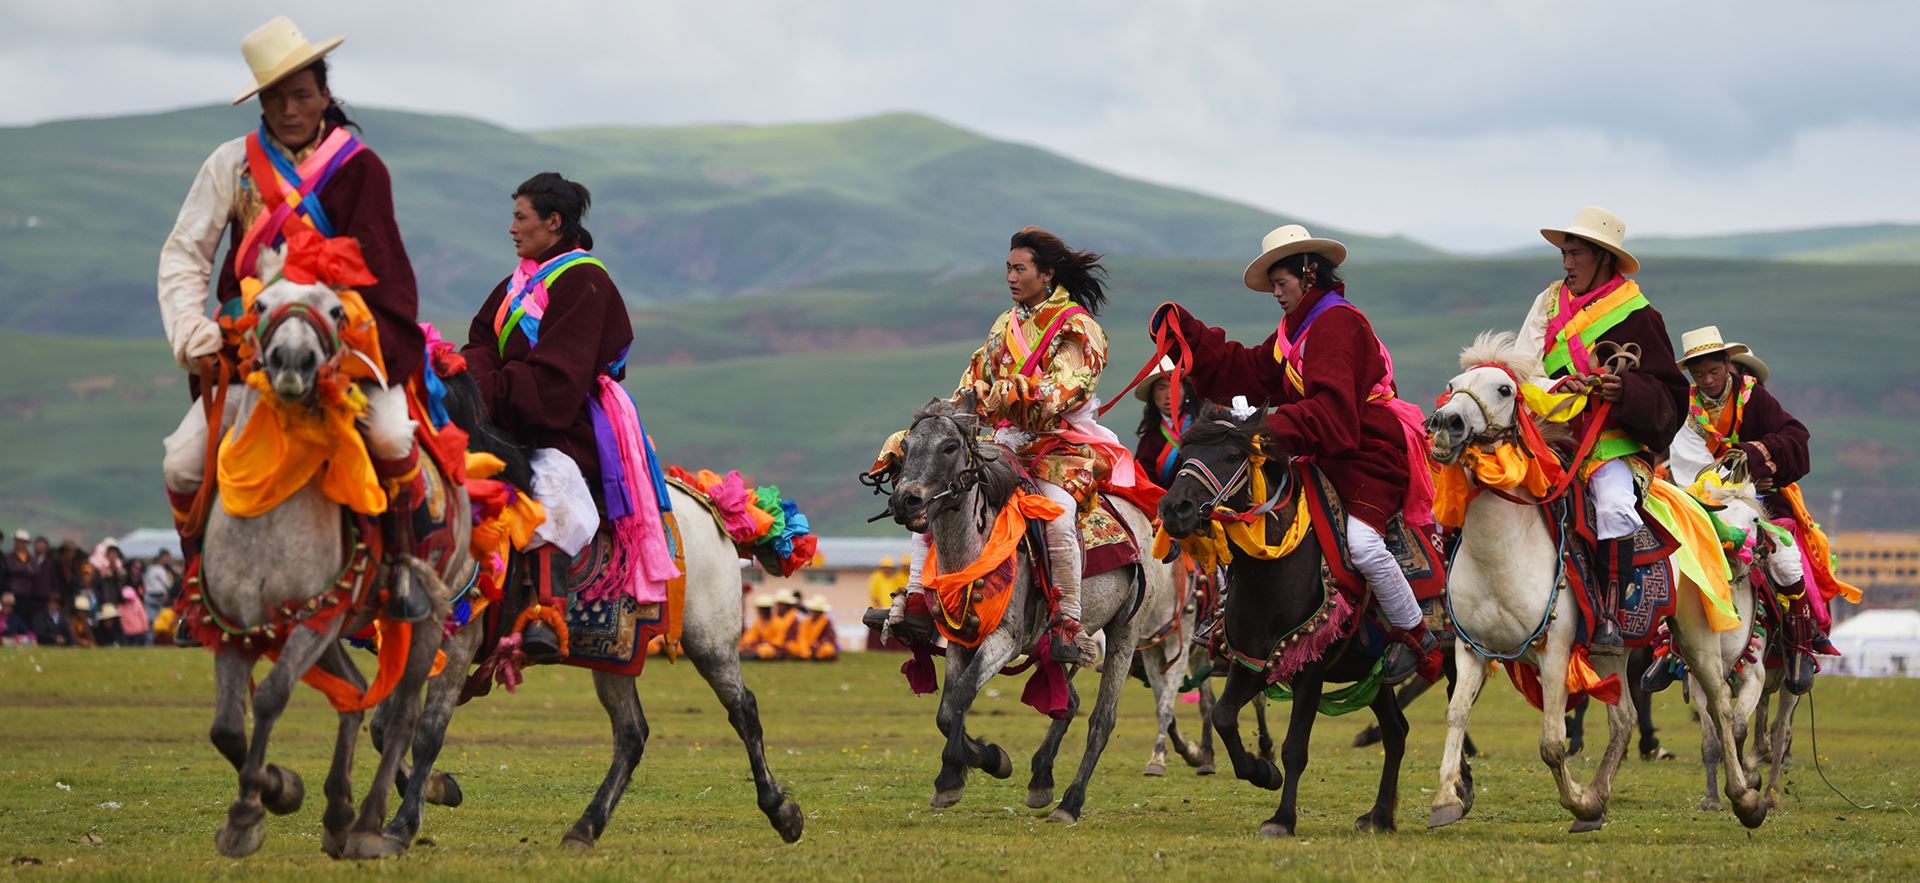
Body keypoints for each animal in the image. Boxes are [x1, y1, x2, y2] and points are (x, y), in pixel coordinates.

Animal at [1436, 334, 1758, 833]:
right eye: (1453, 386)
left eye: (1504, 390)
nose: (1445, 424)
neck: (1500, 551)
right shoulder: (1472, 649)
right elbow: (1456, 715)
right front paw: (1447, 799)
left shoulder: (1553, 650)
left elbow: (1552, 742)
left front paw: (1576, 800)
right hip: (1613, 649)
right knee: (1624, 718)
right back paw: (1599, 798)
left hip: (1695, 635)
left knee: (1721, 706)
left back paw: (1746, 798)